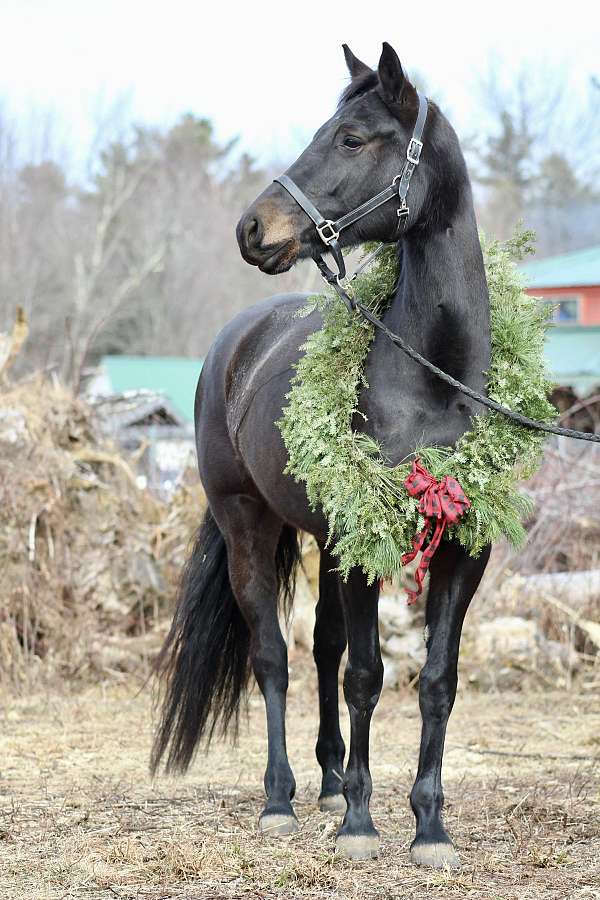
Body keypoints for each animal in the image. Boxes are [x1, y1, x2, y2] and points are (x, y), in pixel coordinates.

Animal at [154, 42, 492, 864]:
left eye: (351, 138)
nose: (253, 229)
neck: (435, 378)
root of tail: (234, 345)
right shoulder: (362, 542)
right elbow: (367, 675)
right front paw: (363, 826)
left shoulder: (462, 547)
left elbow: (435, 680)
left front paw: (428, 827)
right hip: (250, 525)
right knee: (274, 657)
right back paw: (281, 800)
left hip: (327, 542)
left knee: (321, 649)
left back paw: (332, 782)